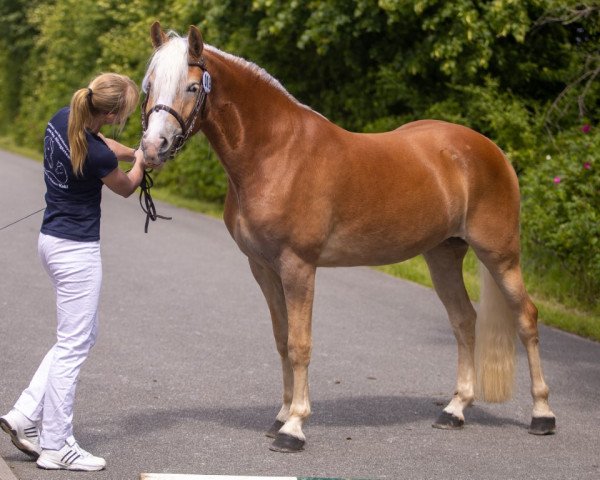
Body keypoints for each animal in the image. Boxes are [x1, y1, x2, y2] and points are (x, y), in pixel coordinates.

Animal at [142, 21, 556, 450]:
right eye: (149, 85)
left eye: (192, 87)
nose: (153, 147)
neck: (276, 152)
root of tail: (491, 150)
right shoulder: (263, 267)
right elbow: (281, 339)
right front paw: (281, 415)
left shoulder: (298, 266)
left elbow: (300, 344)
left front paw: (294, 427)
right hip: (443, 255)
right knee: (463, 321)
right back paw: (454, 410)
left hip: (500, 254)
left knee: (526, 318)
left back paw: (542, 415)